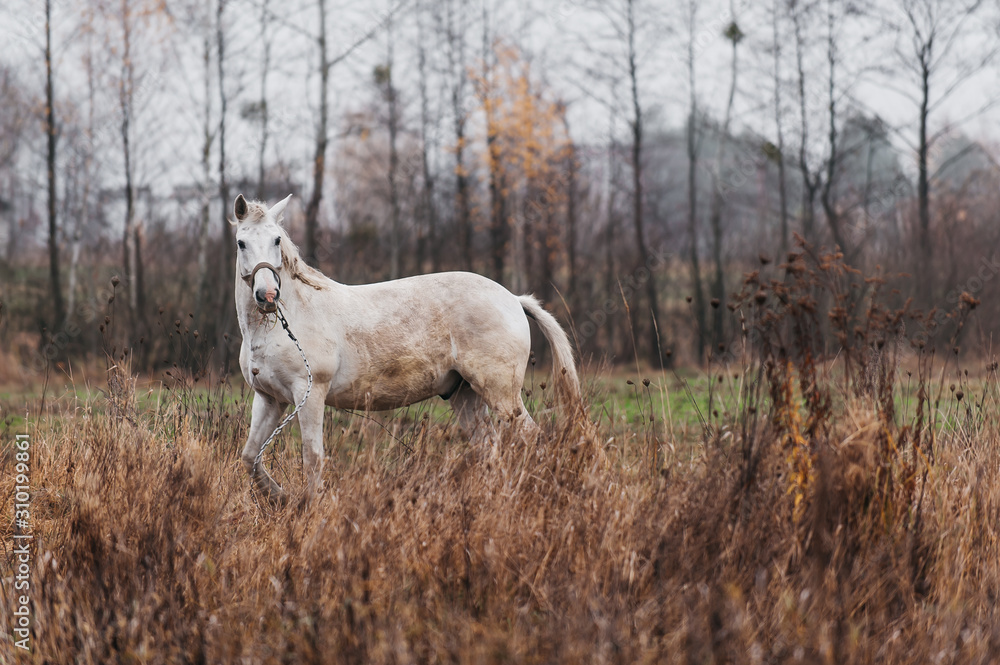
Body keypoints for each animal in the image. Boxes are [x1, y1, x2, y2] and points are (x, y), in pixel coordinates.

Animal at [232, 194, 585, 502]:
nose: (267, 295)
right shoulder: (270, 399)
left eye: (277, 240)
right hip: (466, 396)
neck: (286, 320)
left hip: (501, 395)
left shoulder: (310, 395)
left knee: (533, 439)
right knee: (489, 448)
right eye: (241, 243)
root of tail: (513, 298)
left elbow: (313, 458)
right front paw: (281, 498)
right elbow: (250, 457)